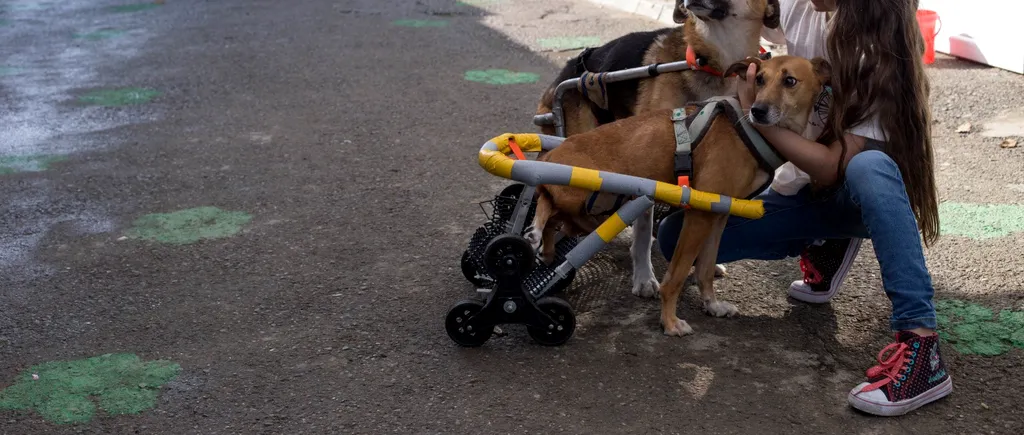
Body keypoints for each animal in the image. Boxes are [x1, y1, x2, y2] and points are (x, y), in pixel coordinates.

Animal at [528, 56, 831, 335]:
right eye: (759, 79)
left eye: (789, 81)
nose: (758, 110)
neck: (746, 129)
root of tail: (553, 153)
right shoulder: (699, 215)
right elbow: (676, 276)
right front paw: (670, 322)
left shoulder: (718, 214)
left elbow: (705, 268)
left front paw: (712, 306)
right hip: (587, 200)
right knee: (545, 201)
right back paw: (535, 230)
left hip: (589, 213)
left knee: (555, 216)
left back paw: (547, 248)